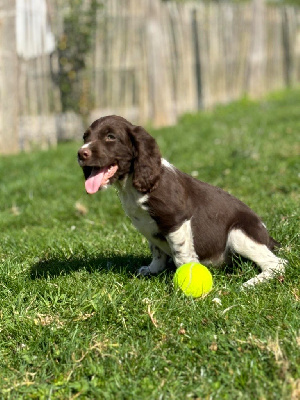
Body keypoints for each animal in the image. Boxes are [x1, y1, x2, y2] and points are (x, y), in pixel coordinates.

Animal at [77, 115, 286, 288]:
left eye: (110, 137)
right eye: (85, 137)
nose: (81, 154)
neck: (131, 185)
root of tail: (268, 237)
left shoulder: (176, 220)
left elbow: (181, 254)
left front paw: (185, 282)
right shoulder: (149, 228)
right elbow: (157, 251)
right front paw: (153, 269)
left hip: (239, 233)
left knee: (278, 263)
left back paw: (251, 283)